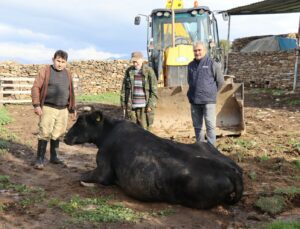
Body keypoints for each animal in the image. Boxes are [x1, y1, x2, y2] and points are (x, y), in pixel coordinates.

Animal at [63, 110, 244, 208]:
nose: (65, 137)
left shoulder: (103, 171)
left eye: (81, 122)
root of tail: (231, 171)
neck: (107, 132)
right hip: (204, 145)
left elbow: (82, 176)